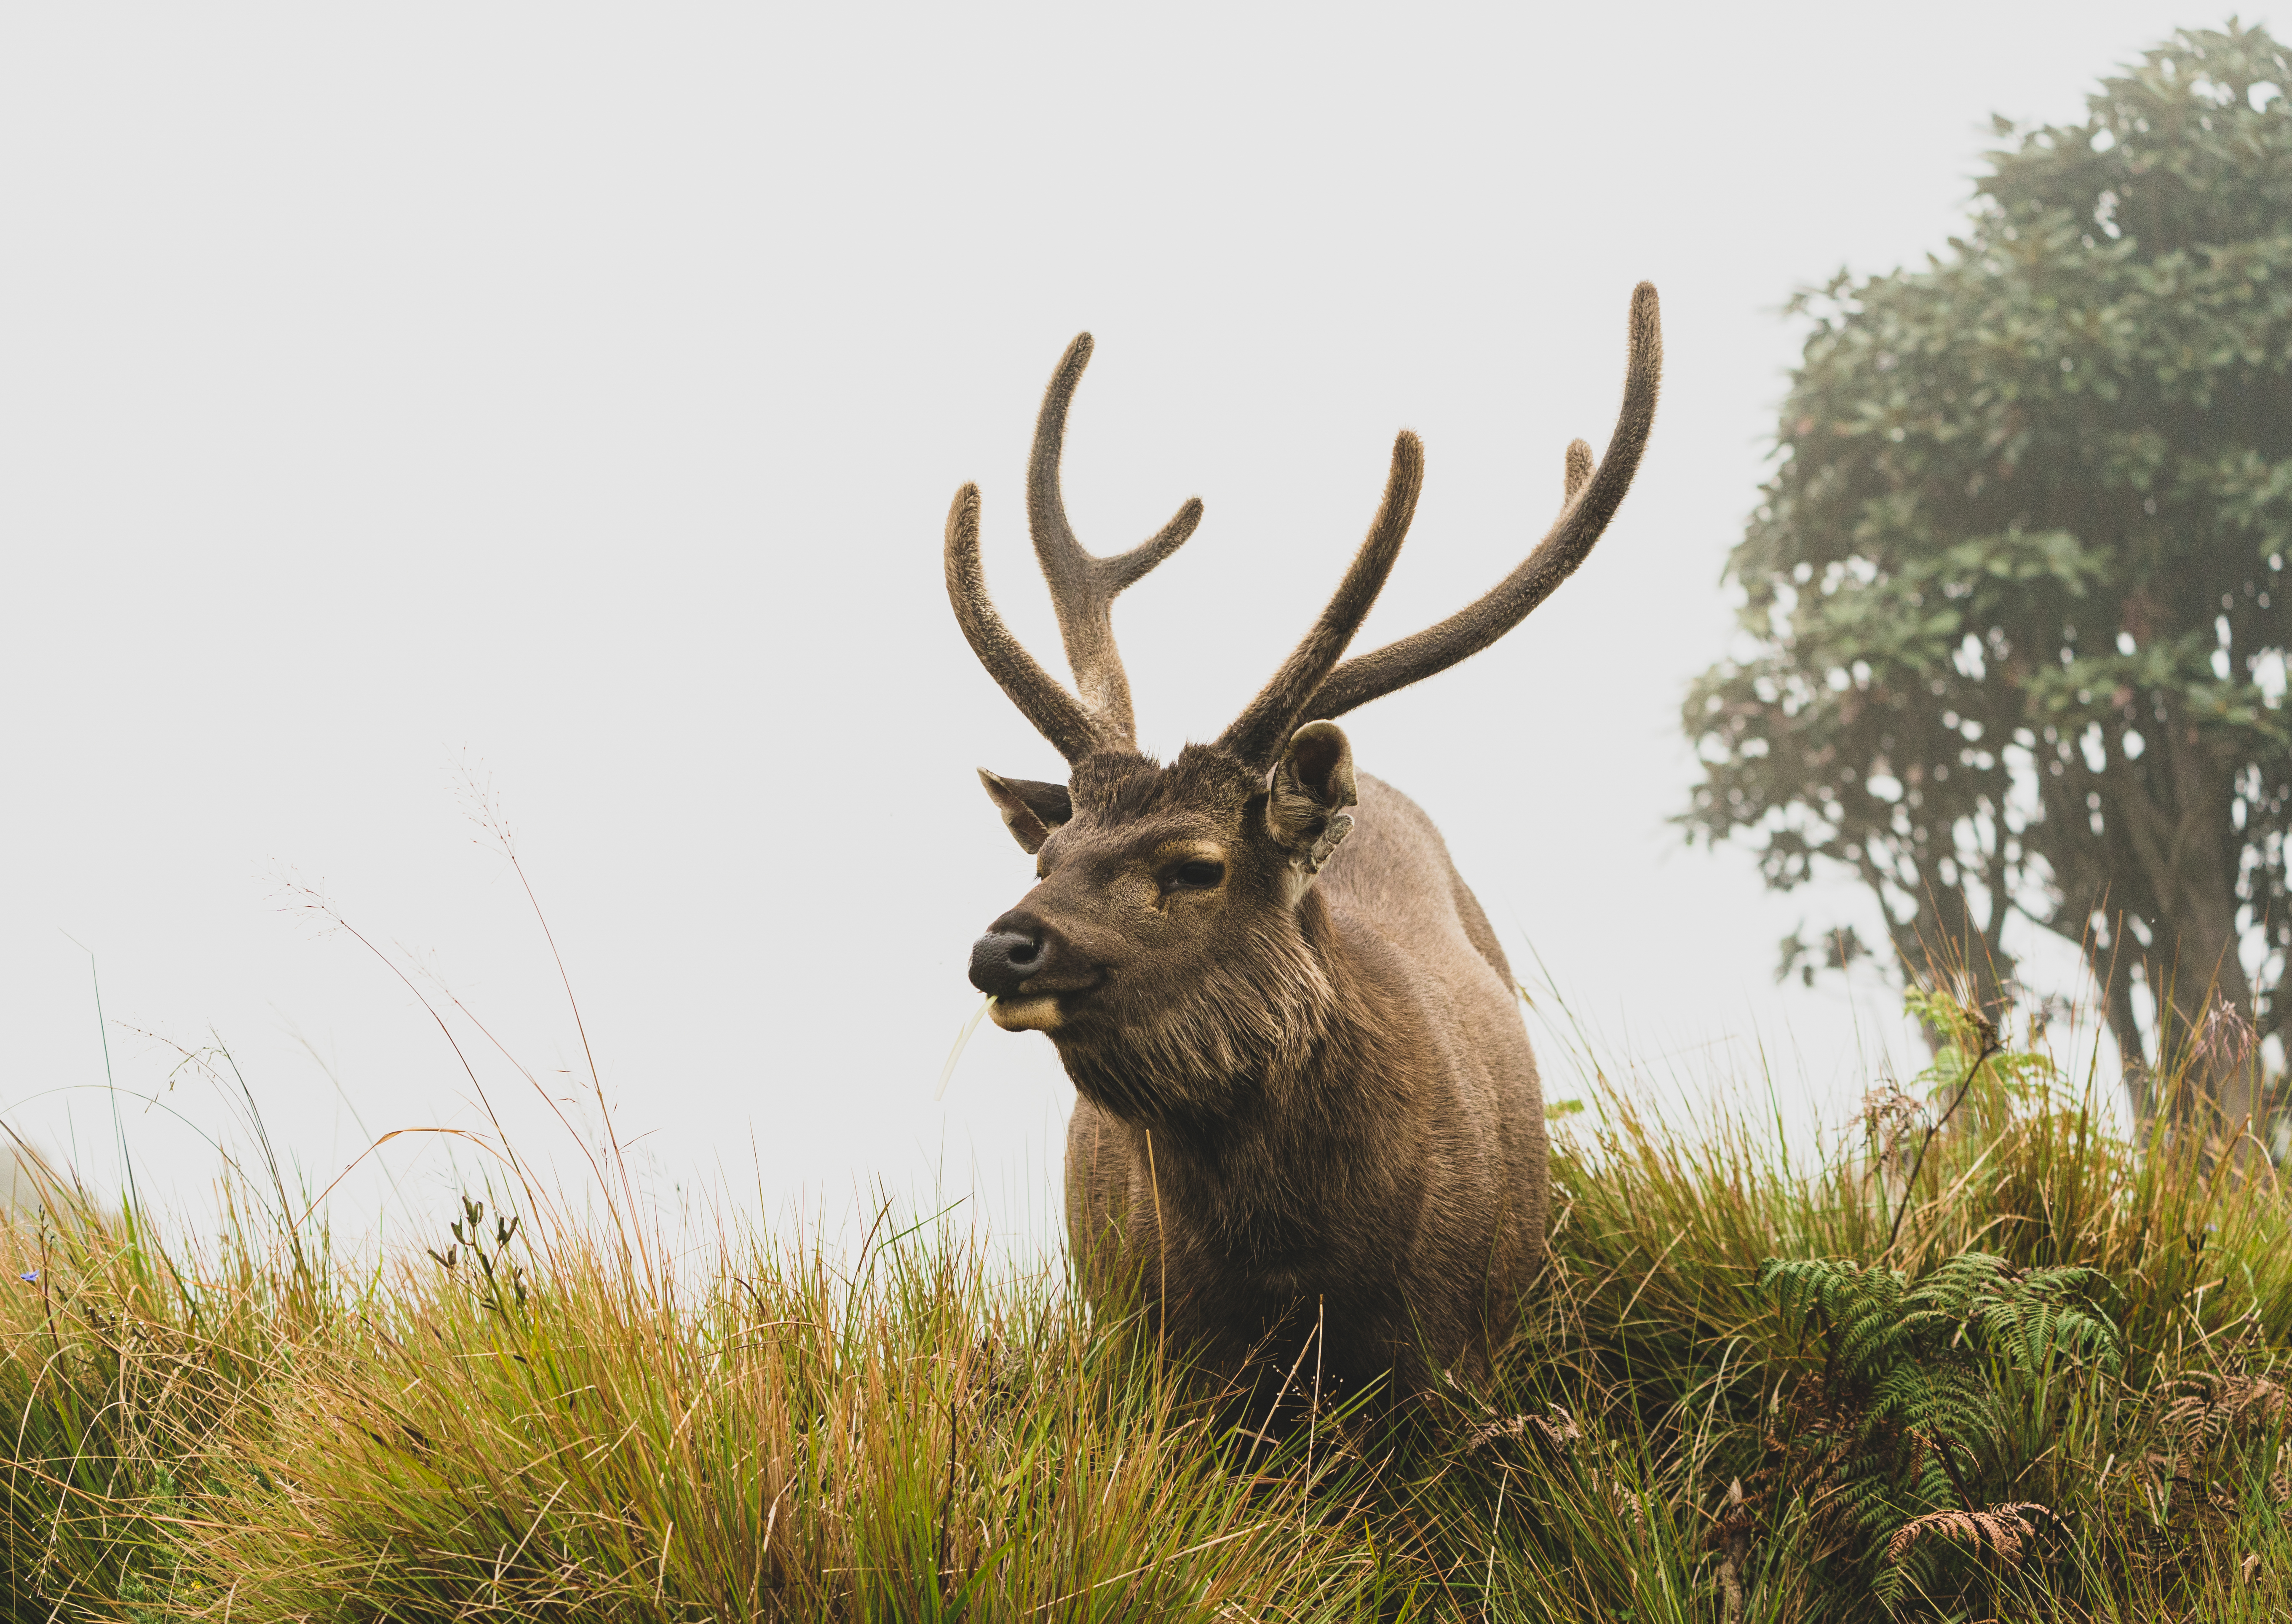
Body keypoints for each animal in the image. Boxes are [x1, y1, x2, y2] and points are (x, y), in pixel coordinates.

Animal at [945, 285, 1661, 1413]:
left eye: (1196, 865)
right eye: (1044, 860)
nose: (1001, 946)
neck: (1291, 1274)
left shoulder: (1456, 1355)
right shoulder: (1159, 1356)